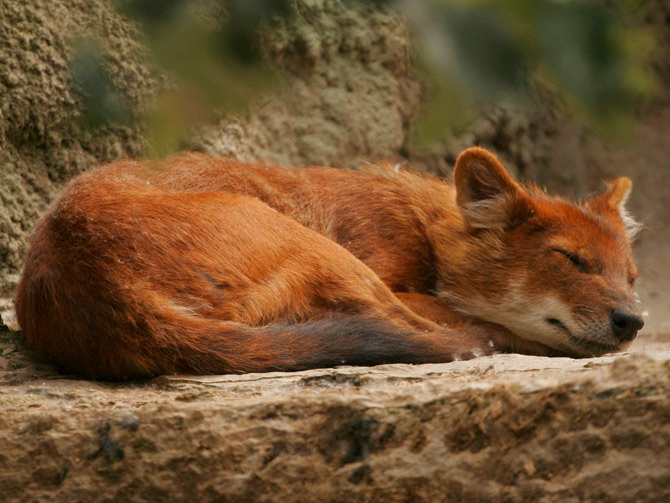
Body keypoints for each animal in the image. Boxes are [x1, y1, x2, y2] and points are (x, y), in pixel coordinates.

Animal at [14, 147, 644, 379]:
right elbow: (458, 313)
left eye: (631, 278)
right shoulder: (380, 263)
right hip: (310, 243)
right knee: (420, 329)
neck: (423, 225)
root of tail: (102, 282)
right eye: (572, 261)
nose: (633, 321)